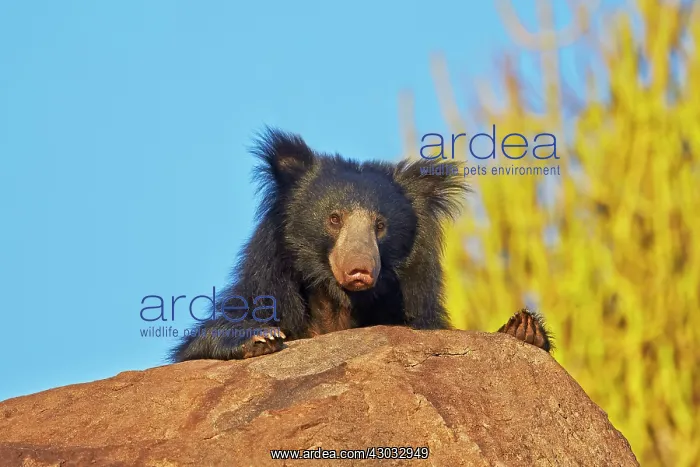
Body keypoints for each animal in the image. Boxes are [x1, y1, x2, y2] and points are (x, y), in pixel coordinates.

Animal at [169, 128, 551, 362]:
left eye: (379, 225)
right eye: (334, 218)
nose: (360, 269)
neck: (340, 302)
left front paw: (523, 328)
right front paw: (259, 338)